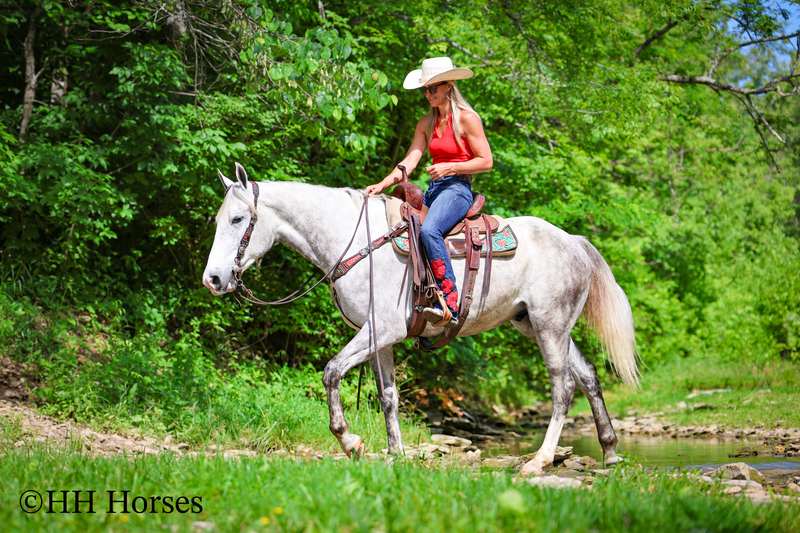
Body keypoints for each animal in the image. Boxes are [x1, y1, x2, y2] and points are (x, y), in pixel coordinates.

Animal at [202, 163, 640, 476]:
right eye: (218, 220)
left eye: (238, 220)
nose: (213, 279)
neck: (355, 241)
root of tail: (574, 241)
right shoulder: (380, 338)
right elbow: (388, 396)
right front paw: (395, 454)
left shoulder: (381, 330)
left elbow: (331, 372)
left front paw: (350, 442)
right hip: (536, 324)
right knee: (587, 375)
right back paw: (610, 451)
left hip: (550, 325)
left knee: (562, 388)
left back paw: (540, 460)